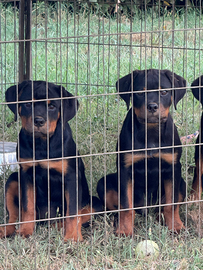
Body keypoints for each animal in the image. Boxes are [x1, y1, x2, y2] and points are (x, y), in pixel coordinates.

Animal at [0, 80, 100, 240]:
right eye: (28, 104)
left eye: (52, 106)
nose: (39, 121)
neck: (42, 143)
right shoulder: (26, 174)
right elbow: (27, 207)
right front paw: (25, 231)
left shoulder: (71, 177)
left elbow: (72, 212)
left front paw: (72, 237)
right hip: (13, 179)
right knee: (14, 216)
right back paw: (7, 230)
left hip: (95, 203)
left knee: (75, 216)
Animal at [97, 69, 186, 236]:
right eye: (139, 92)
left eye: (164, 91)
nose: (152, 106)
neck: (150, 132)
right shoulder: (125, 169)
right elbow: (126, 205)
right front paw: (125, 230)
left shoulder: (173, 167)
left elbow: (171, 203)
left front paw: (176, 226)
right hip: (103, 183)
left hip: (181, 183)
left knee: (163, 206)